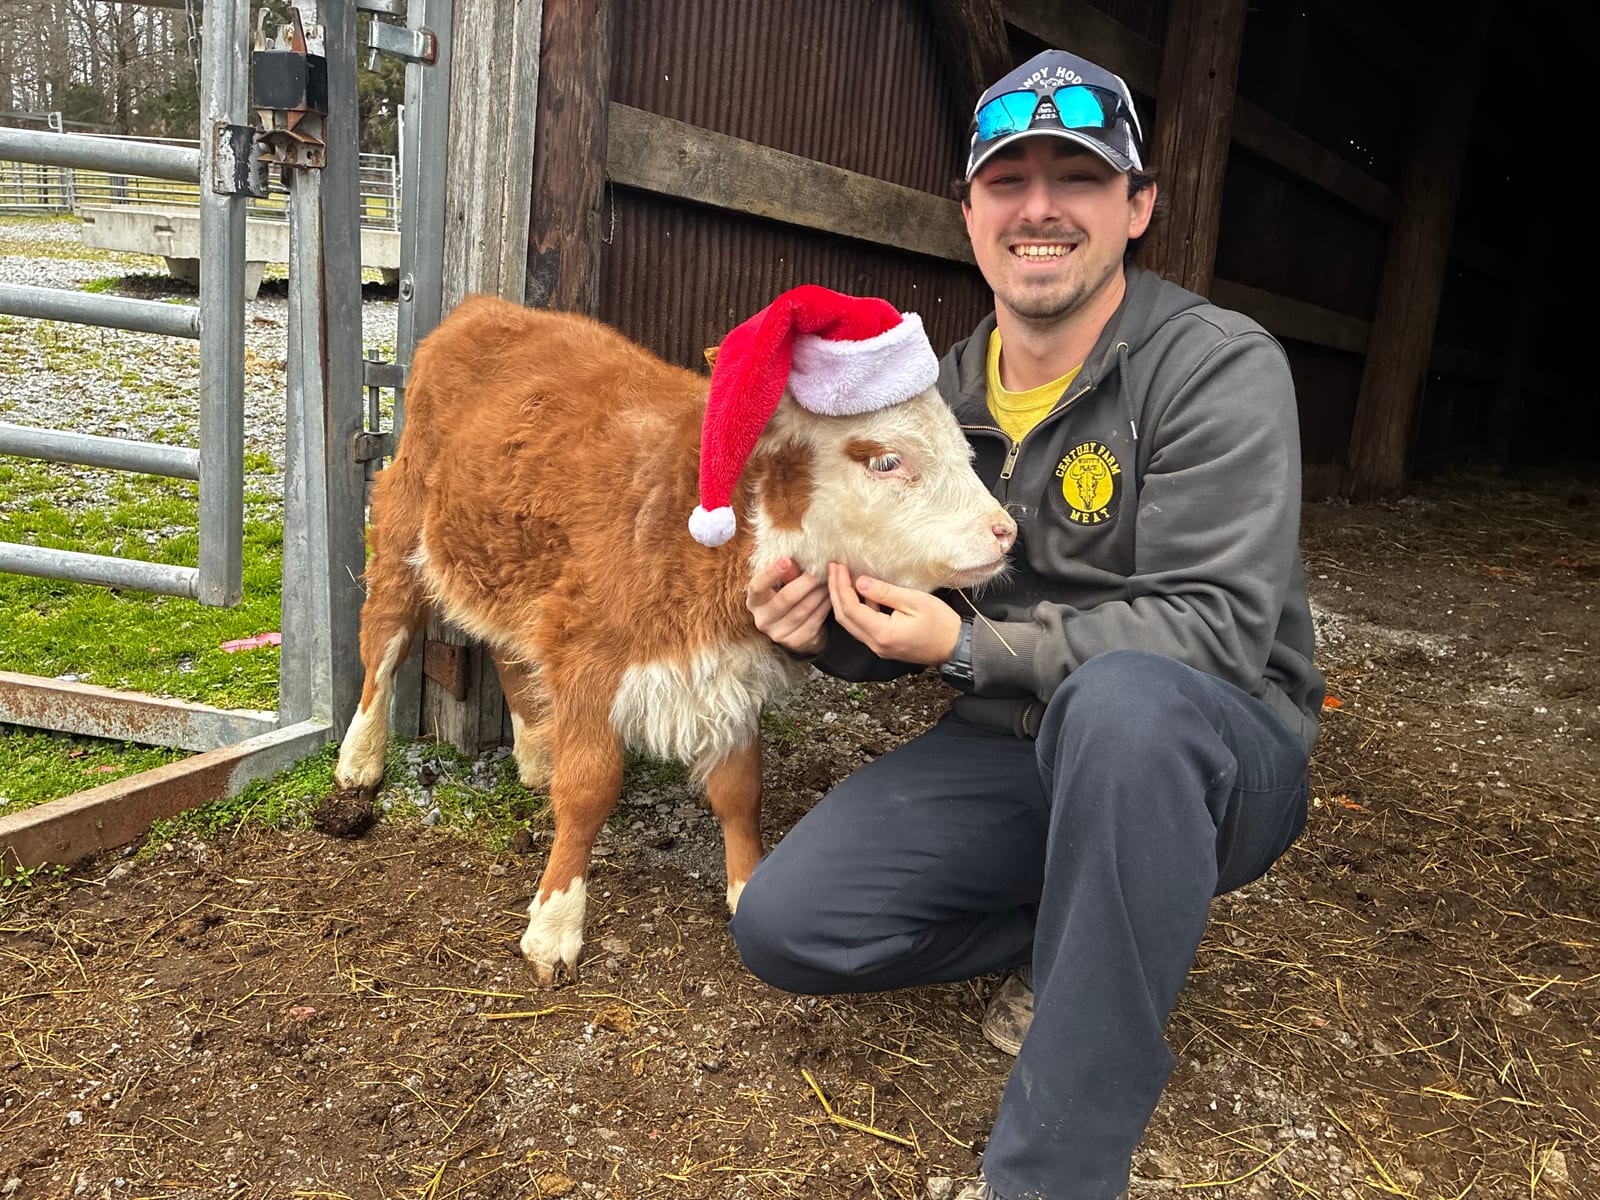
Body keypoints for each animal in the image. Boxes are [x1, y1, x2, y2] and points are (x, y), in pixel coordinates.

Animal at [329, 287, 1017, 985]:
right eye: (886, 459)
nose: (1005, 530)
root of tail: (484, 309)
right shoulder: (592, 652)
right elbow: (590, 789)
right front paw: (554, 925)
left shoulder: (727, 671)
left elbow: (741, 788)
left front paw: (744, 886)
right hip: (402, 522)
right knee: (383, 640)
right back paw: (358, 762)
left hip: (506, 555)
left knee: (504, 641)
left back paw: (535, 755)